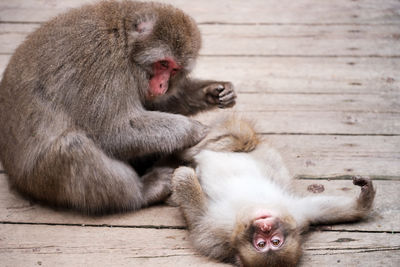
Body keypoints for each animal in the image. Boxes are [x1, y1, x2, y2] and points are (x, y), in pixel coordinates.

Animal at [172, 118, 376, 267]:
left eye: (273, 242)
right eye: (263, 243)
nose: (265, 227)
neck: (252, 206)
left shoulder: (219, 233)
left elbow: (198, 218)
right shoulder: (296, 213)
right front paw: (364, 199)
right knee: (236, 138)